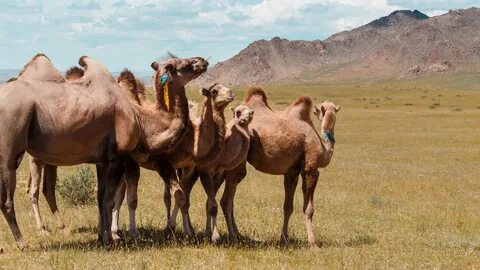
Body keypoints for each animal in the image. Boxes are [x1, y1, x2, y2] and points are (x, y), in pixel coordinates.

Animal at [0, 53, 208, 249]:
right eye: (183, 64)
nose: (202, 61)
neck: (141, 120)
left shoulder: (102, 161)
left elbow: (100, 198)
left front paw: (102, 236)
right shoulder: (118, 158)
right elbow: (110, 200)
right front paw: (111, 239)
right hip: (10, 149)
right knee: (10, 198)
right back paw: (23, 242)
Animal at [110, 83, 234, 242]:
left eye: (226, 86)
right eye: (214, 91)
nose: (230, 93)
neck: (192, 139)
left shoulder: (187, 168)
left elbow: (184, 199)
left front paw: (188, 232)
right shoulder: (163, 164)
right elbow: (179, 196)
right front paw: (170, 228)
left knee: (120, 193)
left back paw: (116, 231)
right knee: (119, 195)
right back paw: (116, 232)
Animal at [219, 88, 340, 249]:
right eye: (316, 111)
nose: (316, 111)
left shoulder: (292, 172)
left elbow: (288, 207)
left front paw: (284, 240)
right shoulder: (310, 168)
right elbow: (308, 208)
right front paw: (313, 243)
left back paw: (238, 236)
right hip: (236, 164)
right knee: (227, 199)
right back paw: (234, 239)